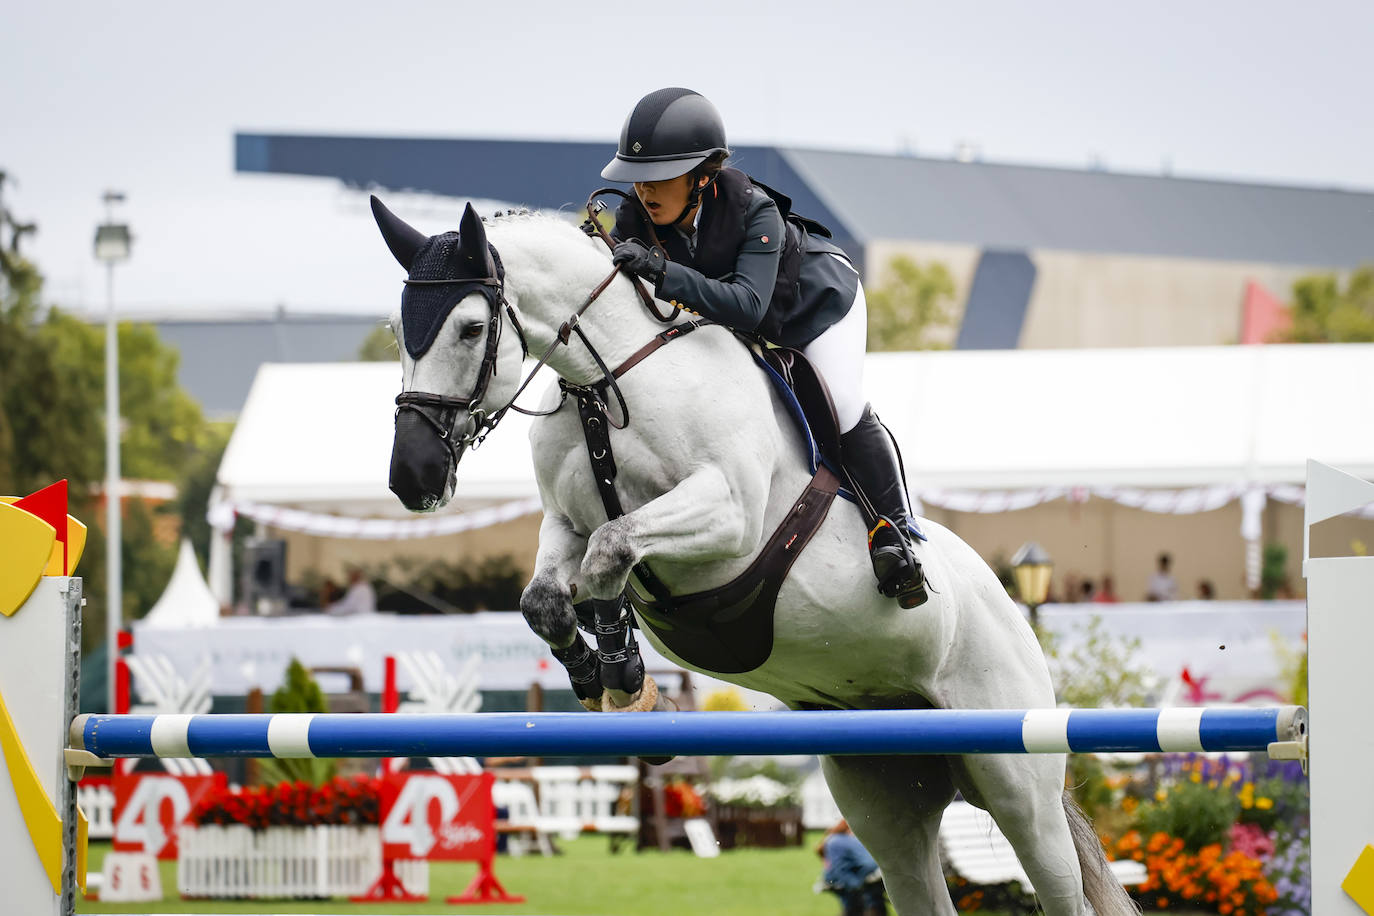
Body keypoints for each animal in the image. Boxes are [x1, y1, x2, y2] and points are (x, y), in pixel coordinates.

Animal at [370, 195, 1132, 916]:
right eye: (399, 330)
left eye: (470, 328)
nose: (413, 475)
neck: (608, 379)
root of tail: (1014, 614)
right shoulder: (565, 523)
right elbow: (548, 597)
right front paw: (600, 677)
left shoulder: (728, 518)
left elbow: (613, 552)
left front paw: (627, 681)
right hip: (885, 785)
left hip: (1016, 779)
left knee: (1056, 879)